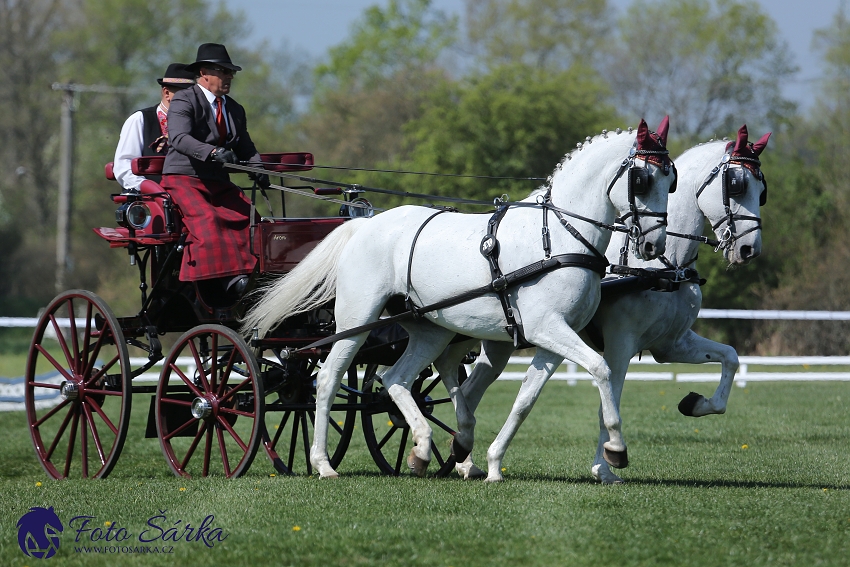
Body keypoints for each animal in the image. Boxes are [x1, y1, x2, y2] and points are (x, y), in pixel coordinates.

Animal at [243, 118, 676, 480]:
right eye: (641, 179)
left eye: (670, 179)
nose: (653, 245)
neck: (557, 236)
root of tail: (363, 225)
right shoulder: (547, 329)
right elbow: (601, 369)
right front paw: (616, 449)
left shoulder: (551, 339)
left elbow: (526, 399)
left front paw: (491, 462)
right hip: (355, 321)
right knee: (329, 378)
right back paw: (322, 463)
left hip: (428, 330)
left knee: (395, 378)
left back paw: (423, 449)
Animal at [438, 124, 768, 484]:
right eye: (735, 184)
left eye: (762, 189)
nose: (750, 249)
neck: (664, 267)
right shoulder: (621, 342)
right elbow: (607, 401)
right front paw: (606, 463)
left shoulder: (671, 344)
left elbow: (730, 358)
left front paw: (697, 403)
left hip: (495, 342)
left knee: (469, 390)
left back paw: (465, 461)